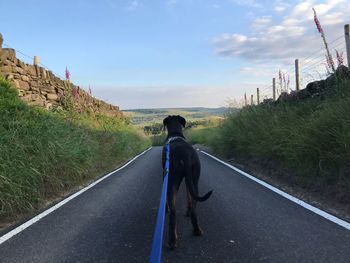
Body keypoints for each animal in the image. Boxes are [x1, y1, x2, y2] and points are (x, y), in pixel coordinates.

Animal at [162, 115, 213, 250]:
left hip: (172, 181)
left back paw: (172, 240)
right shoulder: (188, 180)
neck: (175, 135)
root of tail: (185, 156)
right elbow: (188, 197)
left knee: (173, 213)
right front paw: (187, 211)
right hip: (194, 179)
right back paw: (196, 229)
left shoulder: (165, 175)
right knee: (194, 206)